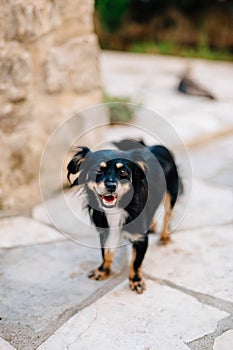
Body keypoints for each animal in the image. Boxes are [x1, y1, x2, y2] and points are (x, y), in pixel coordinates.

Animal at [66, 139, 183, 292]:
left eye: (123, 172)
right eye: (98, 170)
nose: (111, 186)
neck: (117, 209)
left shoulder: (140, 238)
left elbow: (136, 262)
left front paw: (136, 280)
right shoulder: (106, 231)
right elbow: (106, 253)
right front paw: (103, 271)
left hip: (171, 194)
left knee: (168, 215)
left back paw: (164, 236)